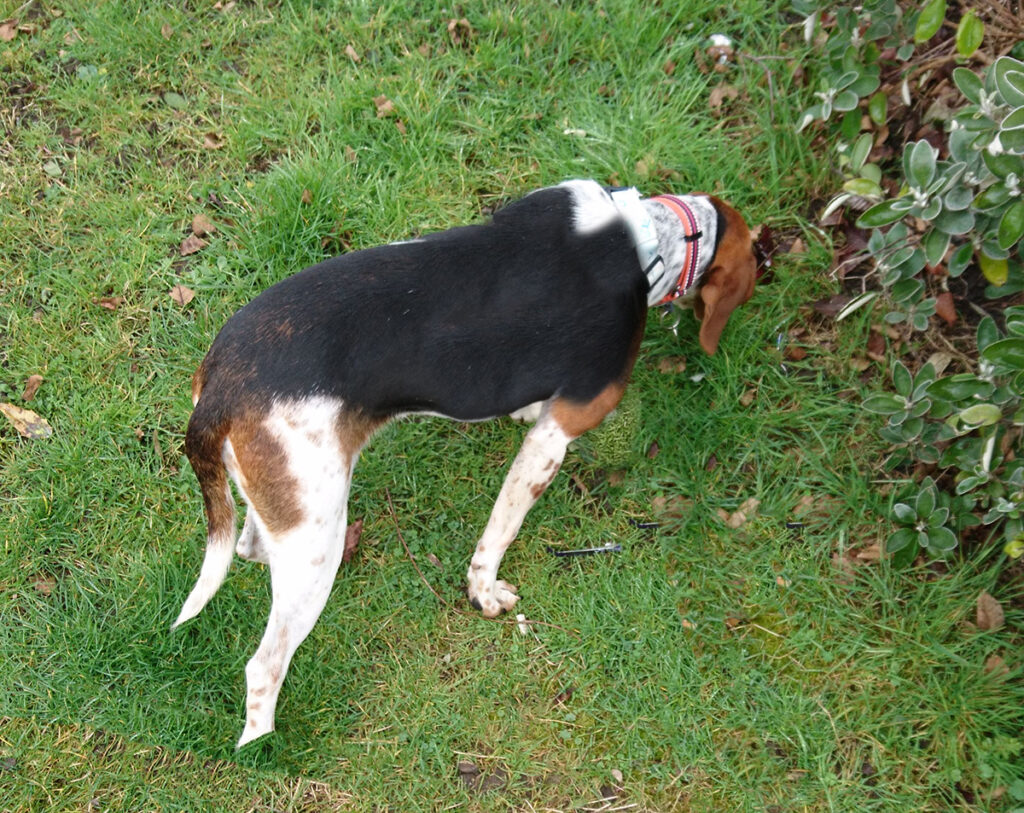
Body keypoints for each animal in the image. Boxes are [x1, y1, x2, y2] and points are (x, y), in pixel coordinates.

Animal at [172, 177, 757, 741]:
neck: (645, 239)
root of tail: (222, 384)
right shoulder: (556, 437)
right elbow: (500, 531)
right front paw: (483, 593)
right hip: (317, 546)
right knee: (263, 668)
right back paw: (265, 742)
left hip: (292, 507)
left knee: (249, 547)